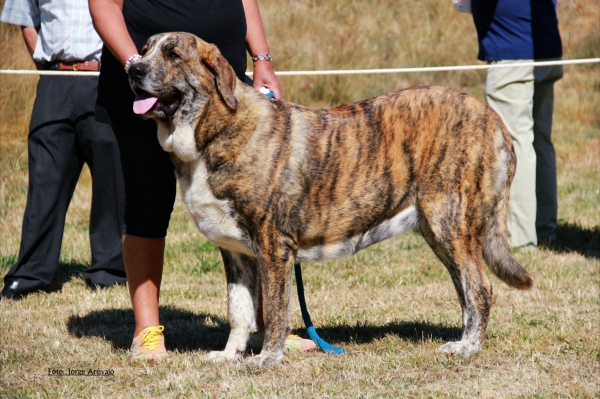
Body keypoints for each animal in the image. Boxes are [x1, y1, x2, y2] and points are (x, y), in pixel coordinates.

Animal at [129, 31, 532, 368]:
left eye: (173, 54)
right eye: (144, 49)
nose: (132, 68)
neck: (214, 132)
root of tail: (491, 117)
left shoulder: (273, 247)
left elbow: (274, 311)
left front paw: (267, 358)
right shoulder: (236, 252)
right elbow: (239, 311)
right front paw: (230, 355)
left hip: (449, 221)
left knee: (479, 289)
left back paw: (468, 347)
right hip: (440, 231)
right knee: (466, 290)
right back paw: (463, 340)